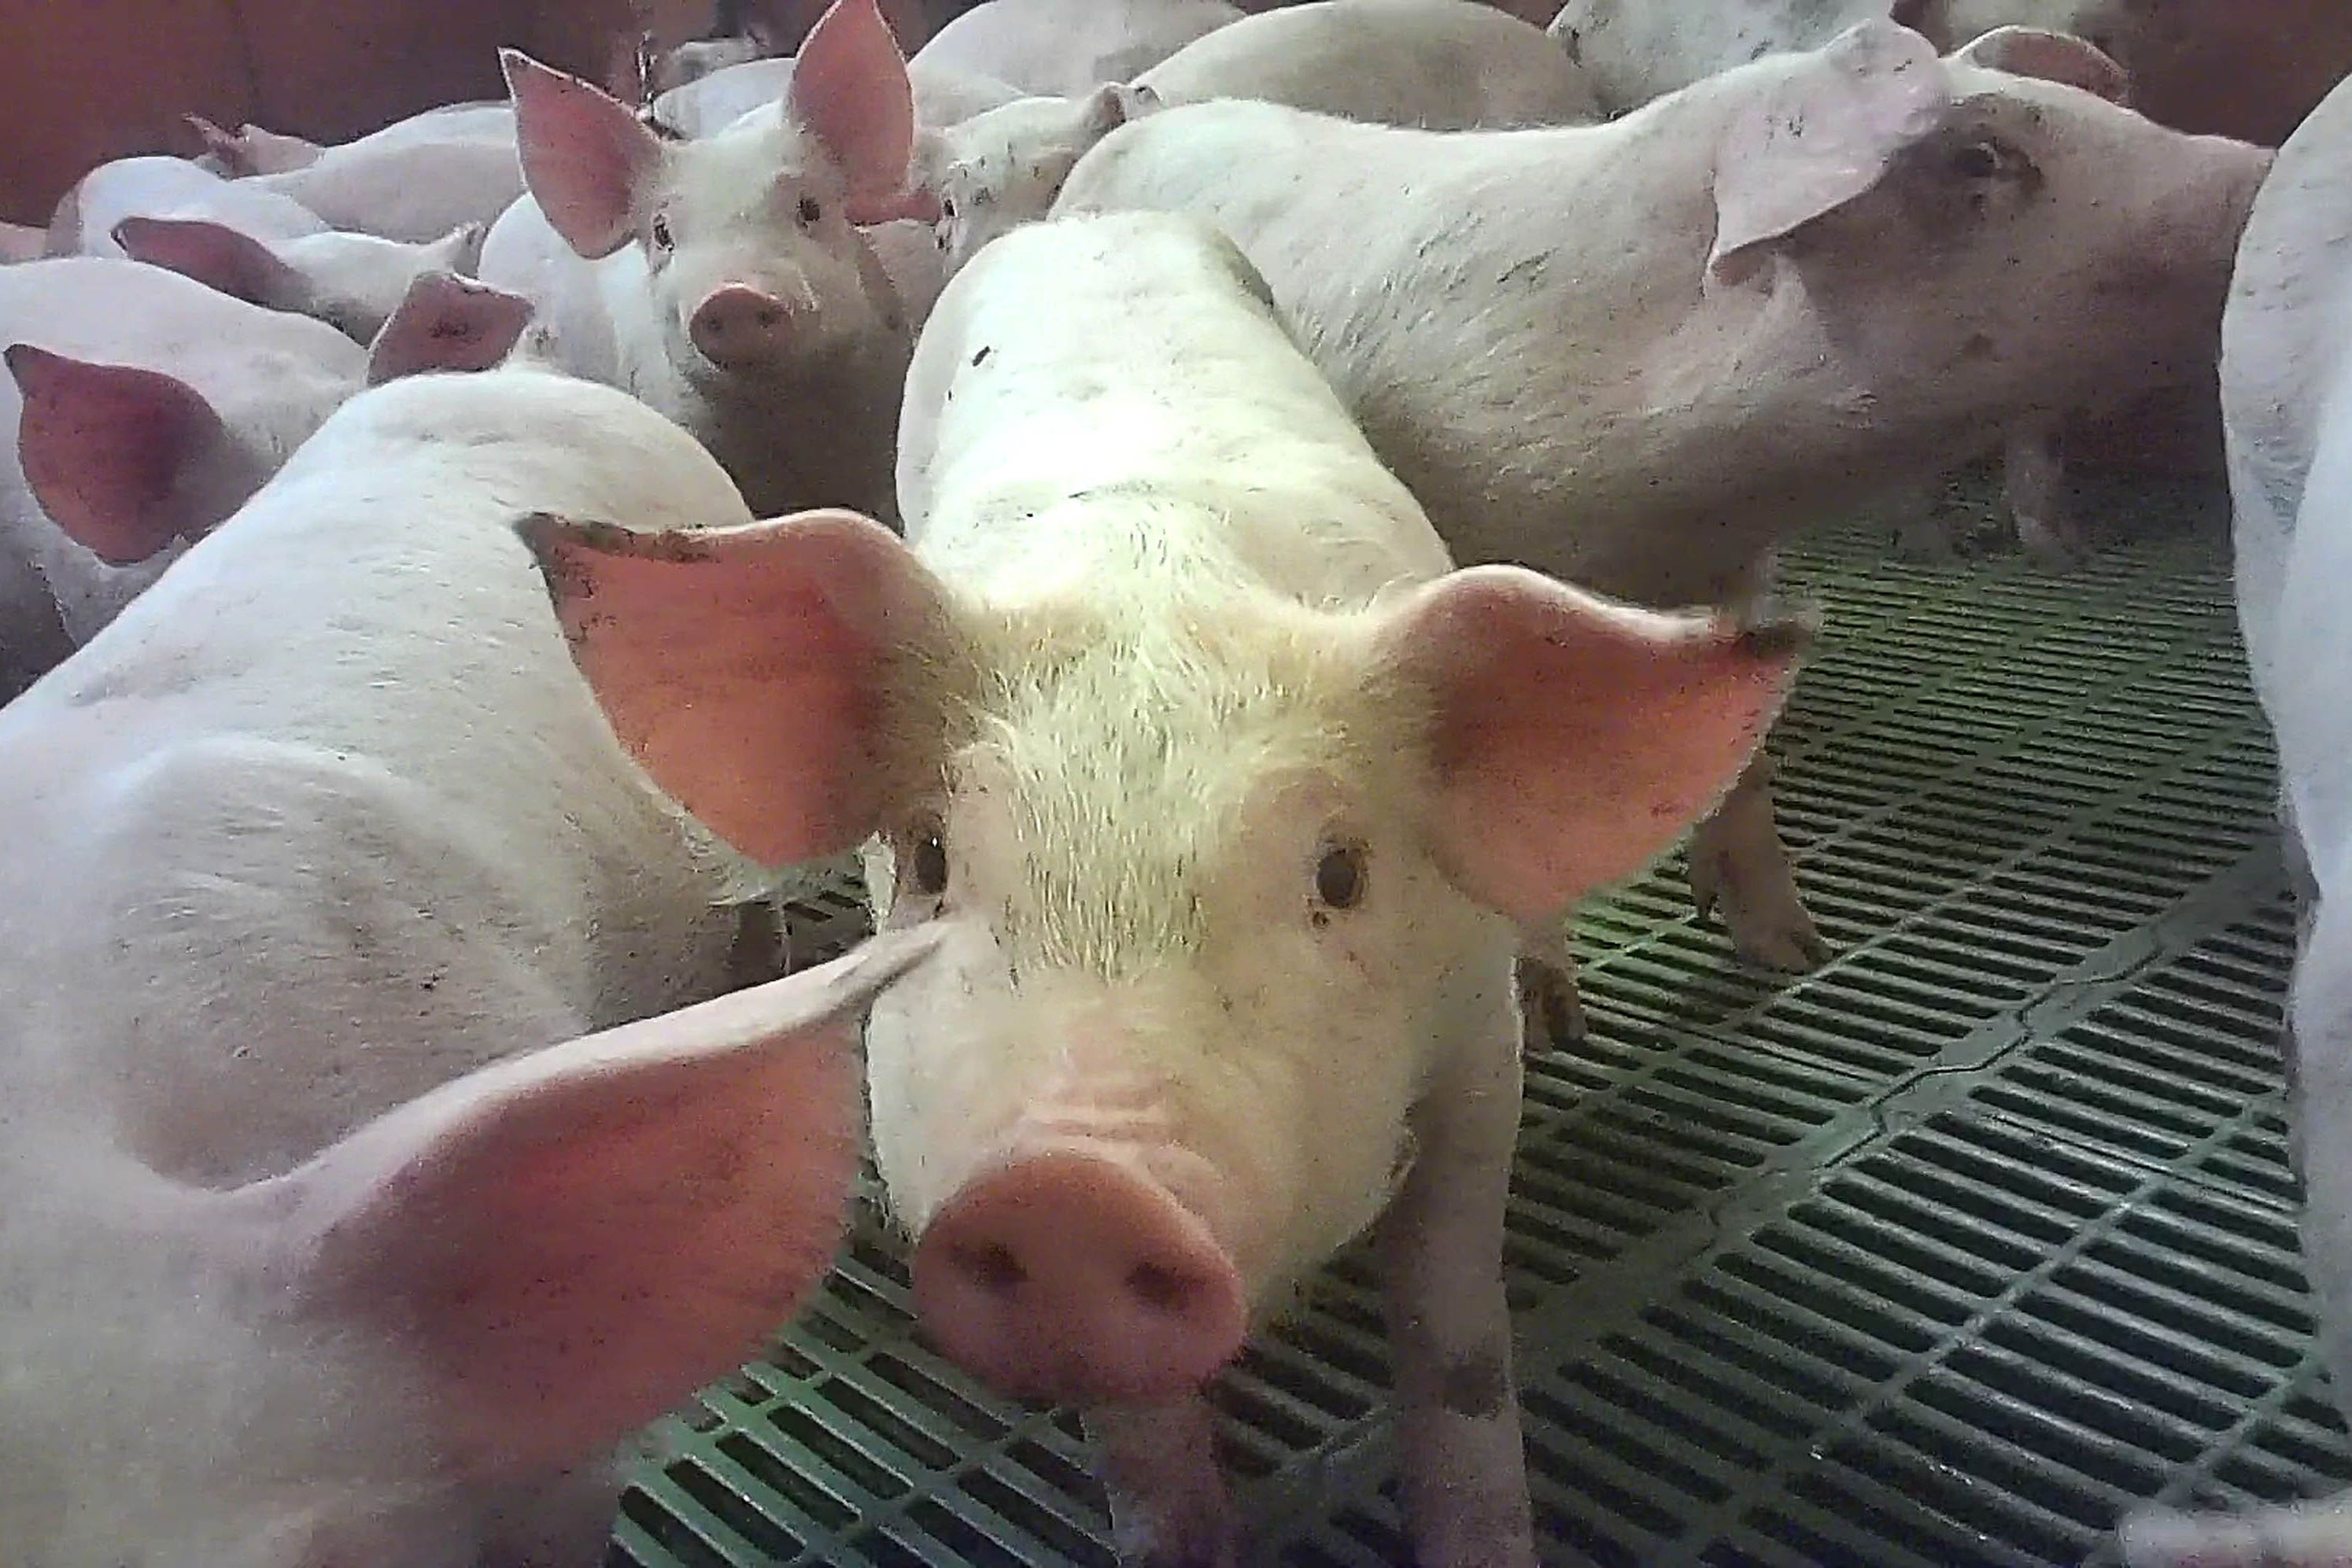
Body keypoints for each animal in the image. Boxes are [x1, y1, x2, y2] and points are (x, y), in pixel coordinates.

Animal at [522, 207, 1806, 1568]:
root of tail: (1073, 220)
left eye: (1339, 872)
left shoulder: (1474, 1063)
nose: (1068, 1192)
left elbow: (1456, 1351)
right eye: (930, 860)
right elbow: (1140, 1441)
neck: (1157, 576)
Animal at [1054, 21, 2271, 978]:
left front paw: (1794, 953)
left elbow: (1742, 764)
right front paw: (1554, 1016)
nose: (2265, 168)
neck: (1677, 504)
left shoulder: (1730, 569)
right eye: (1982, 156)